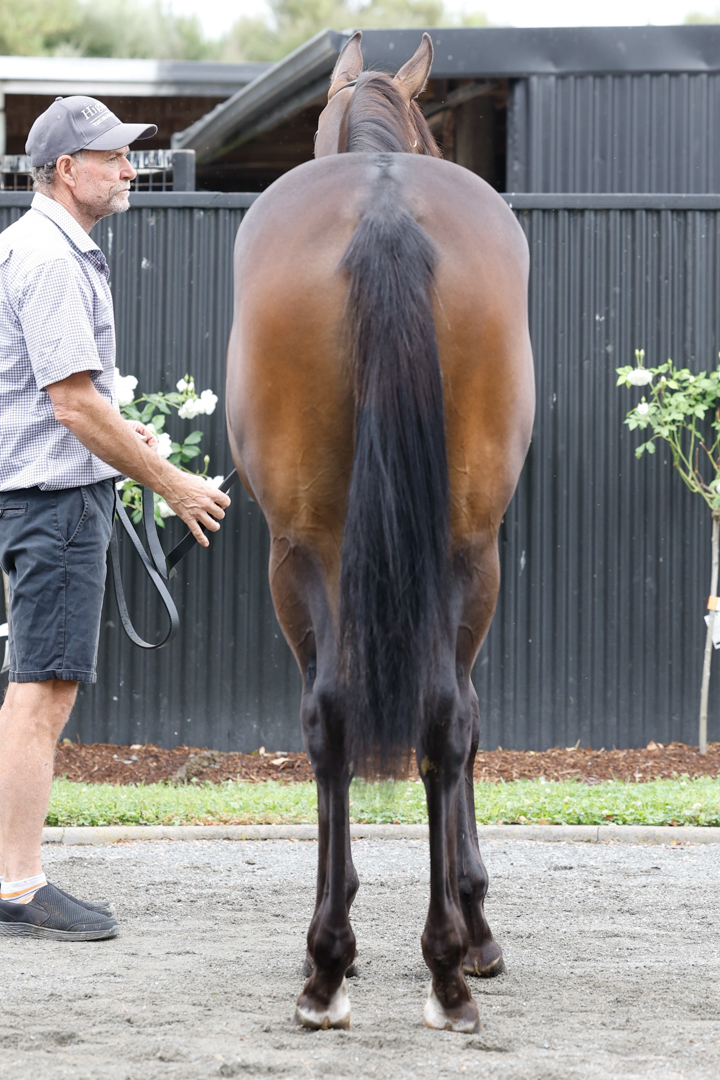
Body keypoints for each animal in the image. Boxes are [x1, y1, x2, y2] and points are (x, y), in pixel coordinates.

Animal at [225, 31, 535, 1034]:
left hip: (307, 552)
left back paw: (337, 969)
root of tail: (386, 207)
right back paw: (432, 965)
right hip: (455, 552)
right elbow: (468, 720)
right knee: (439, 713)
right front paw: (475, 924)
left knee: (341, 716)